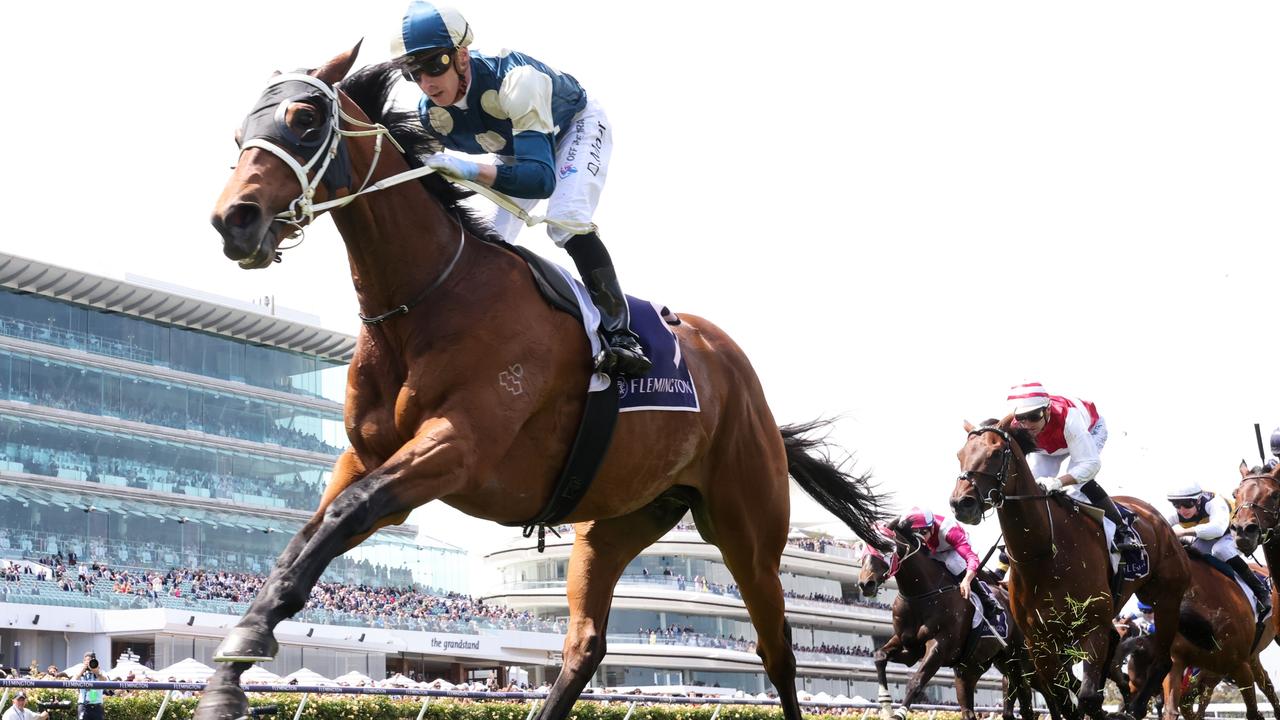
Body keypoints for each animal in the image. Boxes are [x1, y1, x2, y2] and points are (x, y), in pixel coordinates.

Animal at [202, 44, 901, 717]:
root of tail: (748, 387)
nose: (234, 219)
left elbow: (346, 514)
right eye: (239, 133)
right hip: (615, 523)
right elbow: (306, 536)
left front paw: (244, 646)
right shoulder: (365, 455)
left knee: (777, 648)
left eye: (304, 118)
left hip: (746, 528)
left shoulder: (457, 448)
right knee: (584, 645)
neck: (429, 299)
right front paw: (231, 668)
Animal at [855, 520, 1044, 717]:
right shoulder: (908, 646)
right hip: (974, 667)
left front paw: (898, 714)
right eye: (864, 548)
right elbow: (880, 655)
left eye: (885, 547)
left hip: (1017, 659)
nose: (865, 584)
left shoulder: (941, 646)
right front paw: (885, 706)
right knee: (972, 709)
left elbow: (916, 683)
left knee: (1027, 699)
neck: (921, 594)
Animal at [947, 417, 1192, 717]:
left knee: (1163, 661)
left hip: (1166, 597)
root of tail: (1154, 516)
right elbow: (1063, 698)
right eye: (960, 454)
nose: (961, 503)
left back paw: (1133, 709)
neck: (1044, 554)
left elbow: (1084, 696)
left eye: (994, 453)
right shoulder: (1039, 642)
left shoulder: (1092, 624)